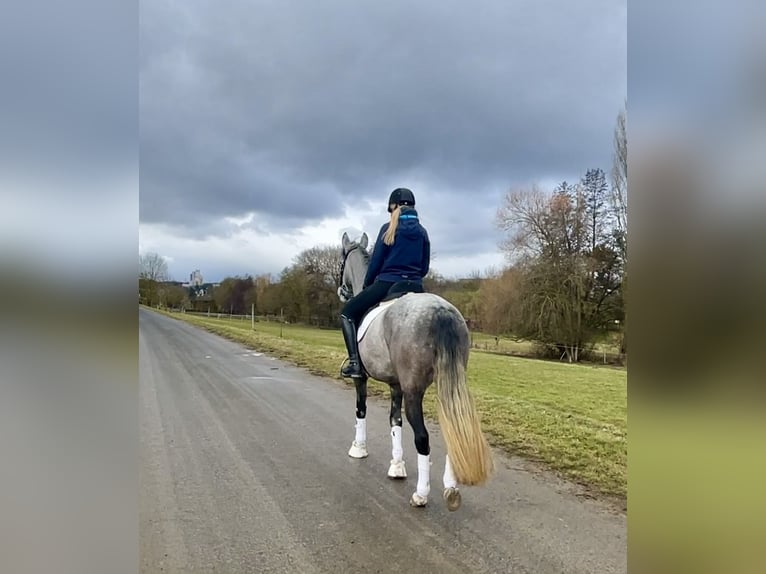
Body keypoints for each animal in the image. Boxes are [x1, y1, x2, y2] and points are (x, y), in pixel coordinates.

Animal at [337, 232, 494, 510]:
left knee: (422, 437)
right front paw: (397, 466)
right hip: (445, 386)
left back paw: (421, 494)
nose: (341, 292)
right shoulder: (395, 384)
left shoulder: (362, 378)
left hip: (414, 391)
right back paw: (451, 489)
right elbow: (394, 421)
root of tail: (441, 311)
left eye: (341, 260)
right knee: (449, 430)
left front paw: (359, 448)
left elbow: (361, 409)